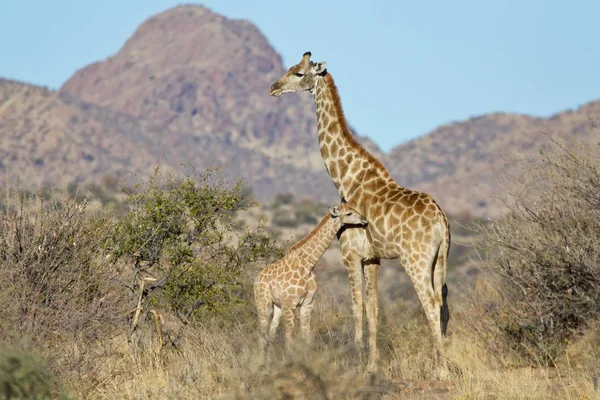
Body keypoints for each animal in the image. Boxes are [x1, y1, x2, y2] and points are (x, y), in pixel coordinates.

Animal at [253, 203, 366, 354]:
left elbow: (306, 335)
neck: (308, 264)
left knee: (271, 332)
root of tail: (256, 279)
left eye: (354, 209)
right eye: (349, 213)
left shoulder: (308, 303)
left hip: (278, 306)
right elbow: (289, 337)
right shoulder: (290, 304)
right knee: (261, 333)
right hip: (263, 303)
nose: (365, 219)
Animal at [270, 52, 450, 376]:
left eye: (299, 73)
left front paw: (355, 360)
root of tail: (441, 221)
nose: (273, 88)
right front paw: (371, 365)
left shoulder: (349, 253)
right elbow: (374, 309)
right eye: (290, 68)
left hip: (415, 259)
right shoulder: (372, 258)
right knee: (442, 303)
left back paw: (440, 369)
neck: (345, 176)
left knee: (429, 303)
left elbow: (357, 307)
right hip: (440, 258)